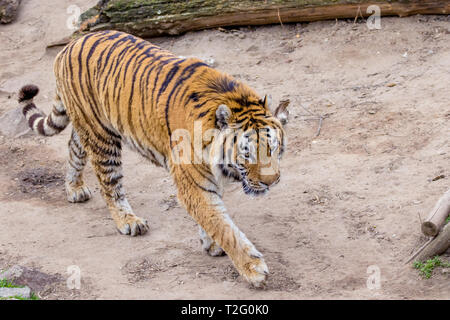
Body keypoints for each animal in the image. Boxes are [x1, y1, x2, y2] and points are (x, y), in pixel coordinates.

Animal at [18, 30, 288, 288]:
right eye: (247, 153)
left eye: (274, 148)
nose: (272, 181)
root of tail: (69, 46)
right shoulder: (193, 184)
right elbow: (222, 226)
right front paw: (254, 270)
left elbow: (213, 219)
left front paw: (210, 244)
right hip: (102, 138)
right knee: (110, 183)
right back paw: (128, 221)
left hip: (88, 124)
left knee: (74, 146)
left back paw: (74, 189)